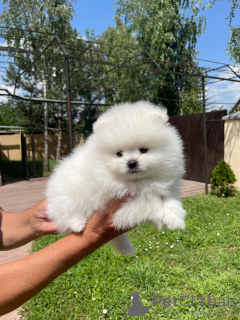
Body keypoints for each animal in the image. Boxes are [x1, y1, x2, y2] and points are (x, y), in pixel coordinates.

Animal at [46, 101, 186, 256]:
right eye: (119, 153)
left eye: (143, 150)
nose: (132, 162)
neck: (138, 180)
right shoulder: (120, 199)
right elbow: (148, 203)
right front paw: (158, 219)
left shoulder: (166, 185)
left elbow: (171, 199)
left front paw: (175, 219)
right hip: (68, 193)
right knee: (67, 211)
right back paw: (78, 223)